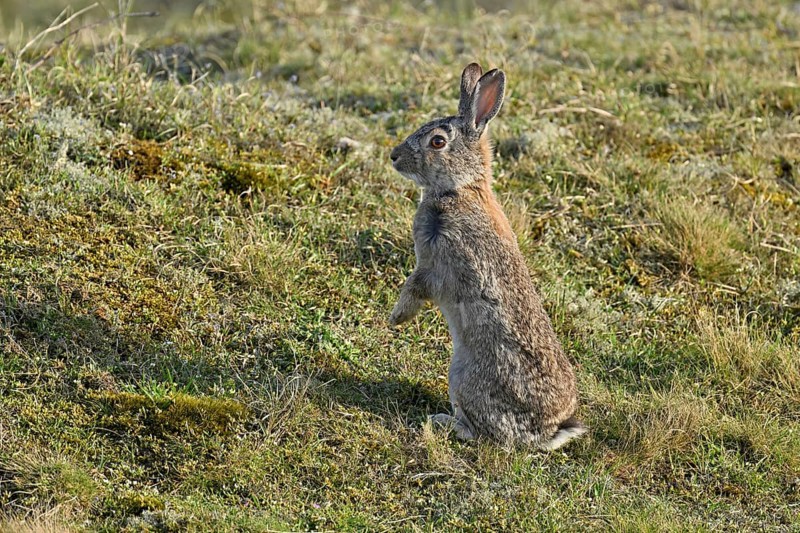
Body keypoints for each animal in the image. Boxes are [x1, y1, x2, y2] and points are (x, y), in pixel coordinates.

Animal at [388, 63, 586, 450]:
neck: (461, 188)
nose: (394, 156)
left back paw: (444, 422)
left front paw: (396, 319)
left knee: (487, 436)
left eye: (437, 141)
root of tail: (544, 431)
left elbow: (414, 287)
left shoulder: (436, 264)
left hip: (463, 375)